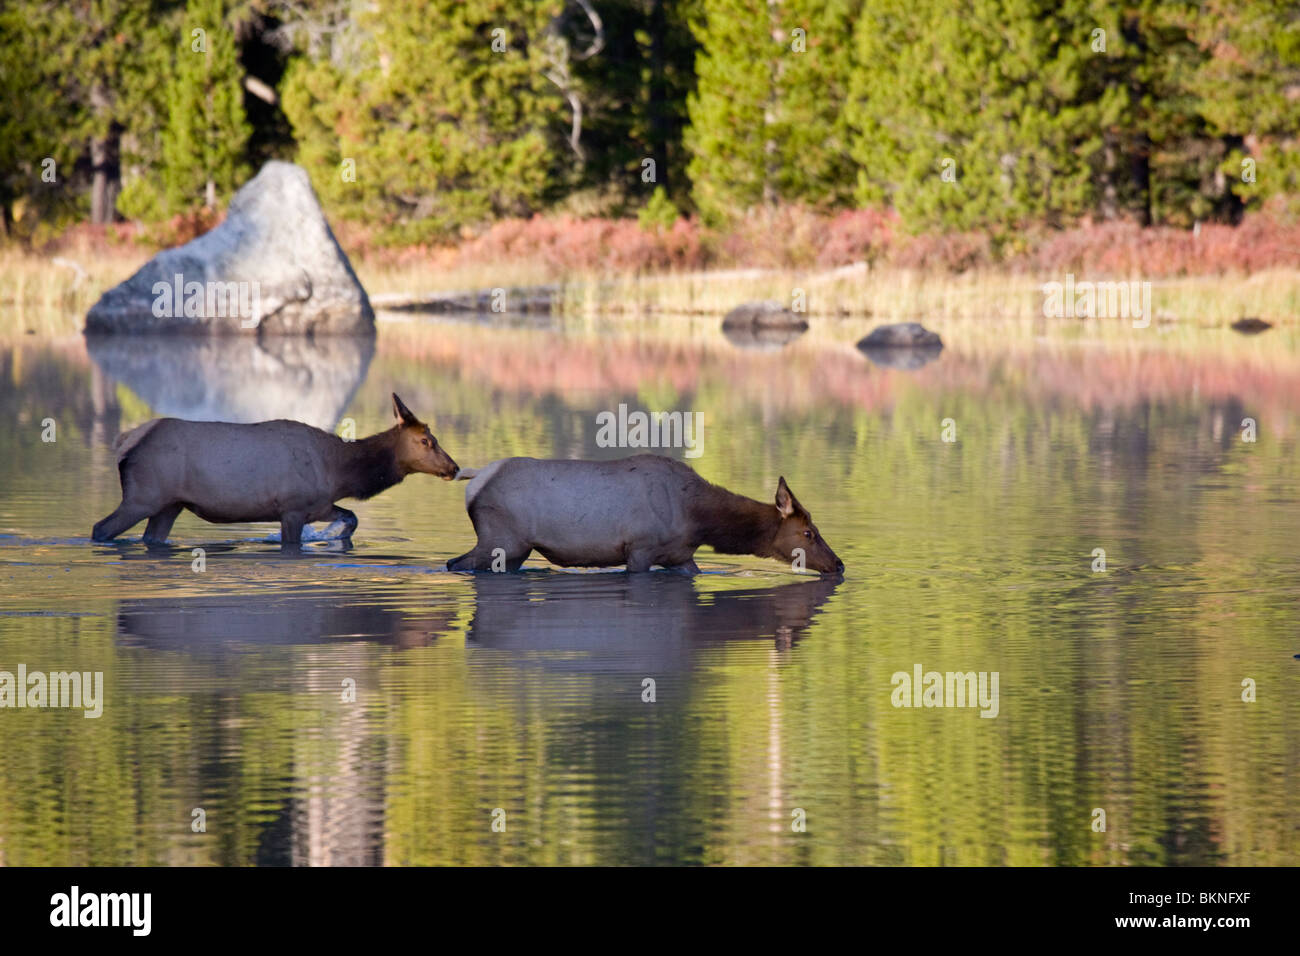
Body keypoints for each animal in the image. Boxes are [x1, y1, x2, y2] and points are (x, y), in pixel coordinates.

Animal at [92, 395, 457, 546]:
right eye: (426, 440)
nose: (454, 467)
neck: (339, 471)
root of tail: (126, 442)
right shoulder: (292, 508)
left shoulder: (317, 505)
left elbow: (351, 517)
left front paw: (334, 537)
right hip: (143, 496)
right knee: (100, 528)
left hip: (169, 506)